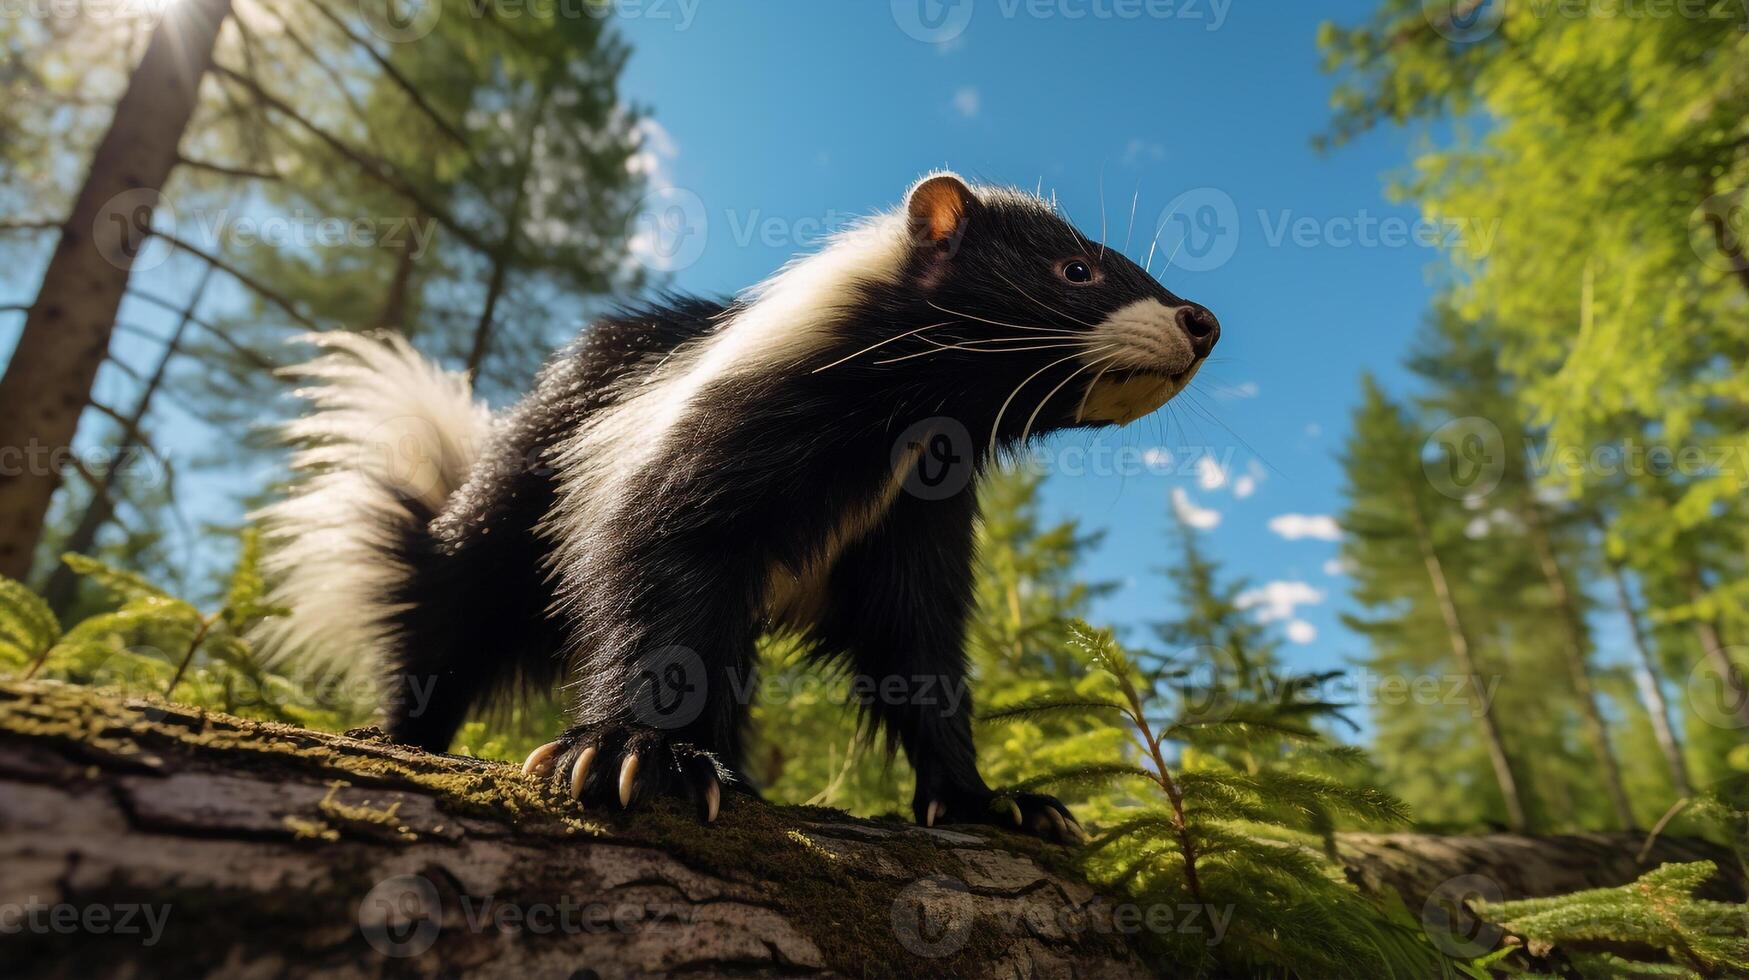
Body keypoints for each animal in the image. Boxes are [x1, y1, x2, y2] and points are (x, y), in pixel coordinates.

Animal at [258, 170, 1217, 843]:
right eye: (1075, 269)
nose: (1200, 320)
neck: (913, 423)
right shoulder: (723, 440)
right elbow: (662, 566)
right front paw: (630, 755)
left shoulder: (916, 515)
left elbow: (918, 649)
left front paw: (991, 803)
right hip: (512, 504)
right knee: (452, 615)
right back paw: (404, 733)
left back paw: (736, 773)